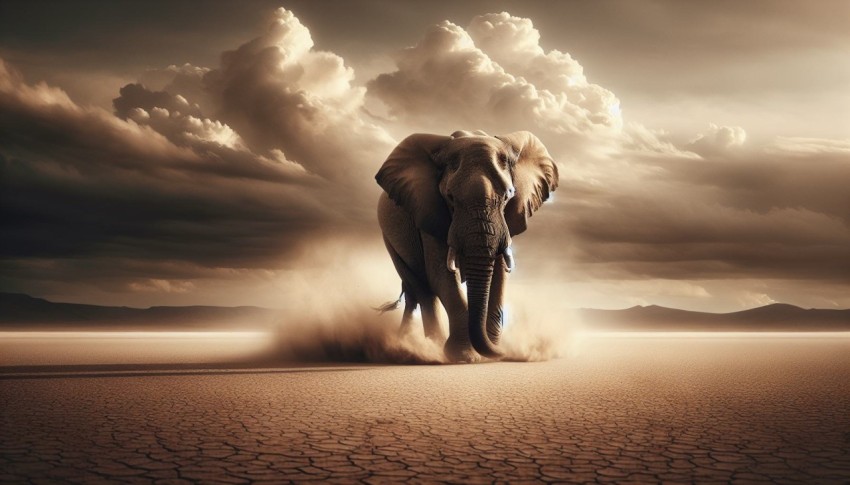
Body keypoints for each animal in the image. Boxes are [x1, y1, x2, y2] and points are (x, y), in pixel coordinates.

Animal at [375, 130, 558, 362]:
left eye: (507, 196)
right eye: (450, 198)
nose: (509, 353)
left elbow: (499, 276)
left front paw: (488, 355)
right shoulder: (430, 212)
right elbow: (441, 275)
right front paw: (464, 357)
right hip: (389, 240)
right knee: (423, 290)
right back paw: (430, 348)